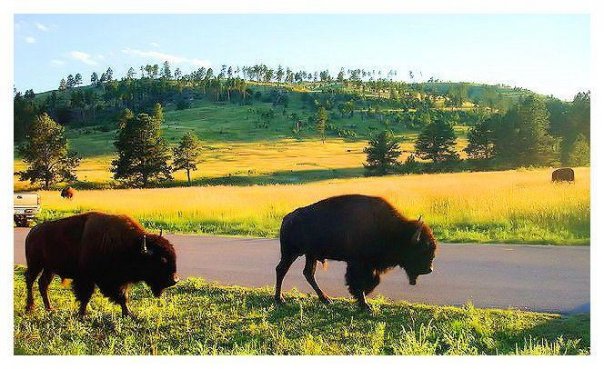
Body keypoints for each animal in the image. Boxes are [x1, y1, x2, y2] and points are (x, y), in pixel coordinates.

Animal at [24, 211, 179, 314]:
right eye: (162, 260)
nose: (175, 280)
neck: (132, 246)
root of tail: (32, 231)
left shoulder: (118, 281)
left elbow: (123, 297)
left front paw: (128, 314)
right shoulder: (86, 279)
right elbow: (85, 296)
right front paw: (82, 314)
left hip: (49, 269)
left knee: (43, 284)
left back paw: (49, 308)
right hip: (35, 265)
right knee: (30, 281)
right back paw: (30, 307)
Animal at [274, 194, 438, 310]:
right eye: (422, 248)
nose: (429, 269)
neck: (394, 231)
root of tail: (287, 218)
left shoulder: (369, 265)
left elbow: (374, 280)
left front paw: (363, 298)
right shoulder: (358, 263)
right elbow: (359, 281)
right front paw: (364, 304)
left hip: (310, 255)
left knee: (308, 273)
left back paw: (325, 299)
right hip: (291, 253)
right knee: (281, 270)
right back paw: (280, 299)